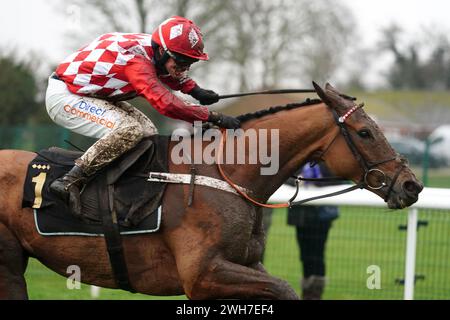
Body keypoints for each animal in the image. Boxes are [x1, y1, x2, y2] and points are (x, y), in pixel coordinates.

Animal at [0, 83, 422, 300]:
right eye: (365, 132)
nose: (412, 185)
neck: (230, 174)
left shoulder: (244, 266)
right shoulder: (202, 275)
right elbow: (286, 289)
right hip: (9, 267)